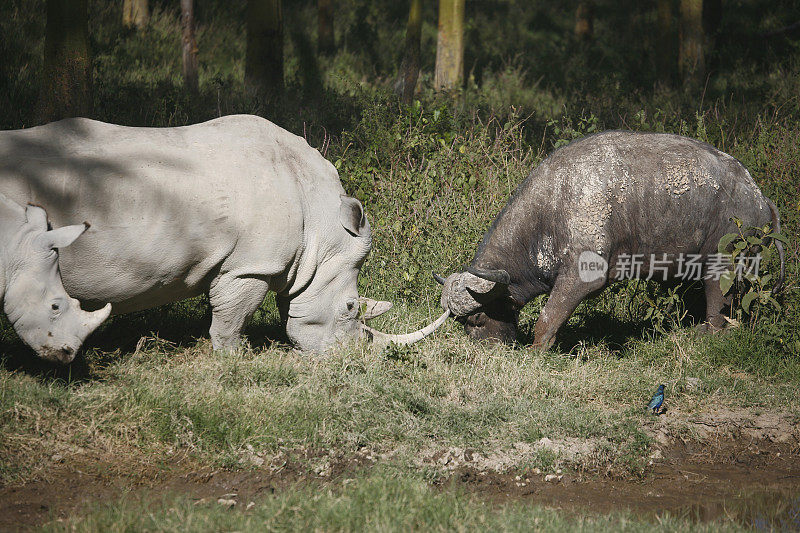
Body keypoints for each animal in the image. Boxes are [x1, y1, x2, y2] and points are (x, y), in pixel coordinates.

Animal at [434, 132, 784, 350]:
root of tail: (759, 196)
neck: (552, 207)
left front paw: (536, 351)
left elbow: (547, 318)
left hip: (722, 259)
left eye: (477, 319)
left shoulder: (582, 276)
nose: (486, 351)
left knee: (717, 297)